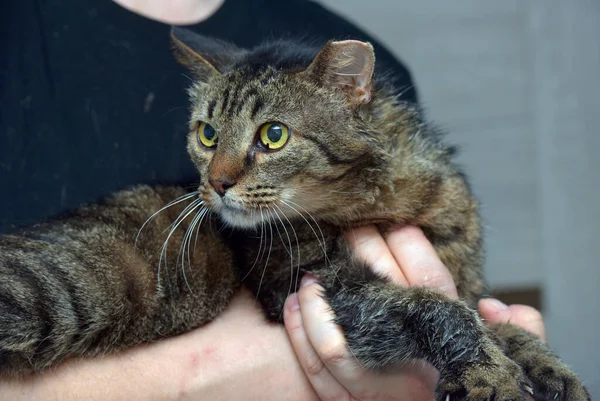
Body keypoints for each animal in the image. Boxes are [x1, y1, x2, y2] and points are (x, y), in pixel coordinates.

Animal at [0, 26, 592, 398]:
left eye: (274, 135)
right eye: (208, 134)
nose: (217, 184)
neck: (383, 199)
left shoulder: (466, 279)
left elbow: (501, 326)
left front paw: (547, 365)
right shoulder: (320, 282)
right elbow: (437, 309)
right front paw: (489, 373)